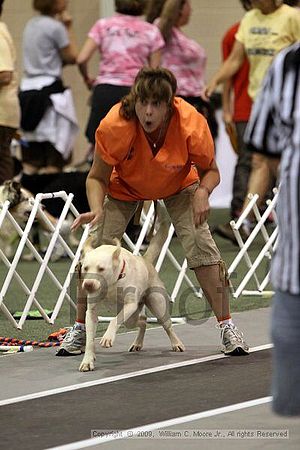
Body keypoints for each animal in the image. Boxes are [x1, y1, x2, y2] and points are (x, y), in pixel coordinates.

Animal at [78, 223, 184, 370]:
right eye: (85, 268)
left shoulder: (130, 305)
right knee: (142, 321)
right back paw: (137, 343)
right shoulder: (91, 312)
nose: (88, 284)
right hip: (130, 318)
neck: (112, 283)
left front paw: (107, 337)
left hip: (157, 306)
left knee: (166, 325)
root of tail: (145, 260)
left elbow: (113, 321)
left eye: (101, 269)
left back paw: (176, 343)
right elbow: (90, 339)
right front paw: (88, 360)